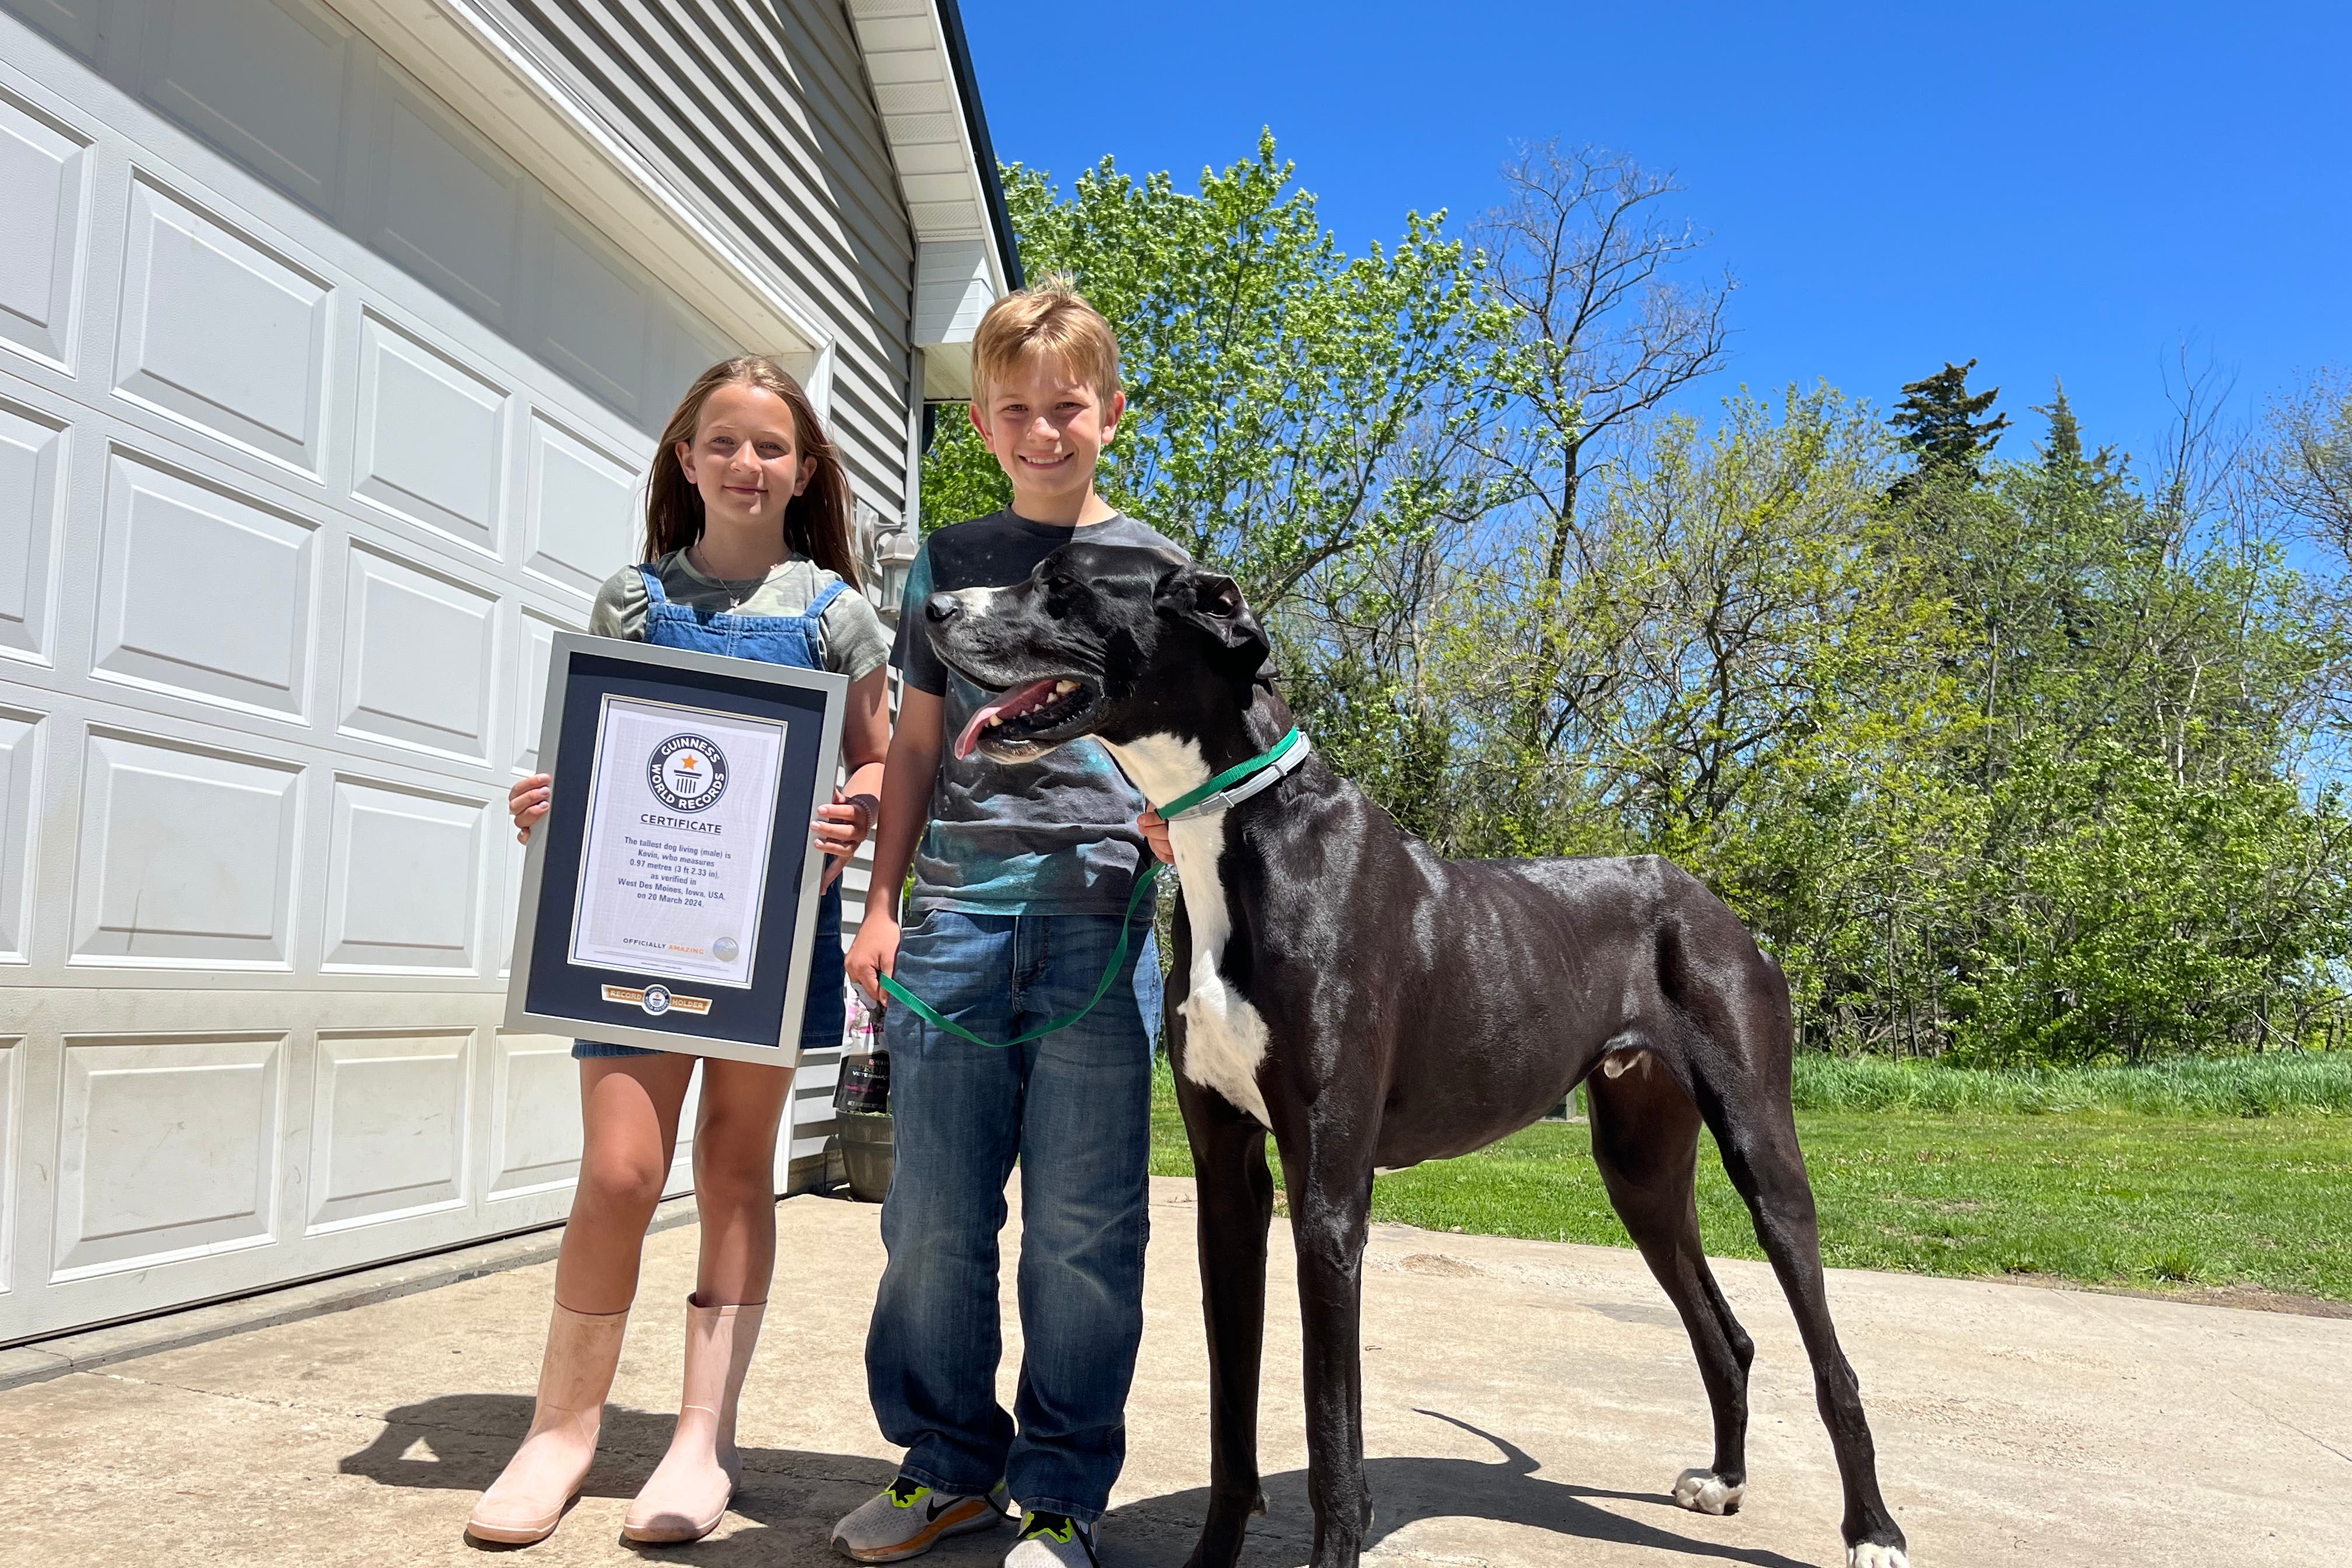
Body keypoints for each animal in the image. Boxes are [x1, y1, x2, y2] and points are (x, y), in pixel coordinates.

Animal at [922, 542, 1909, 1568]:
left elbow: (1332, 1438)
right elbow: (1233, 1416)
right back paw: (1725, 1478)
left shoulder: (1329, 1200)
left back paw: (1873, 1530)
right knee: (1726, 1331)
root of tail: (1713, 905)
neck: (1242, 832)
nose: (934, 609)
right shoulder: (1227, 1181)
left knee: (1831, 1359)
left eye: (1064, 584)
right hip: (1640, 1168)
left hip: (1762, 1151)